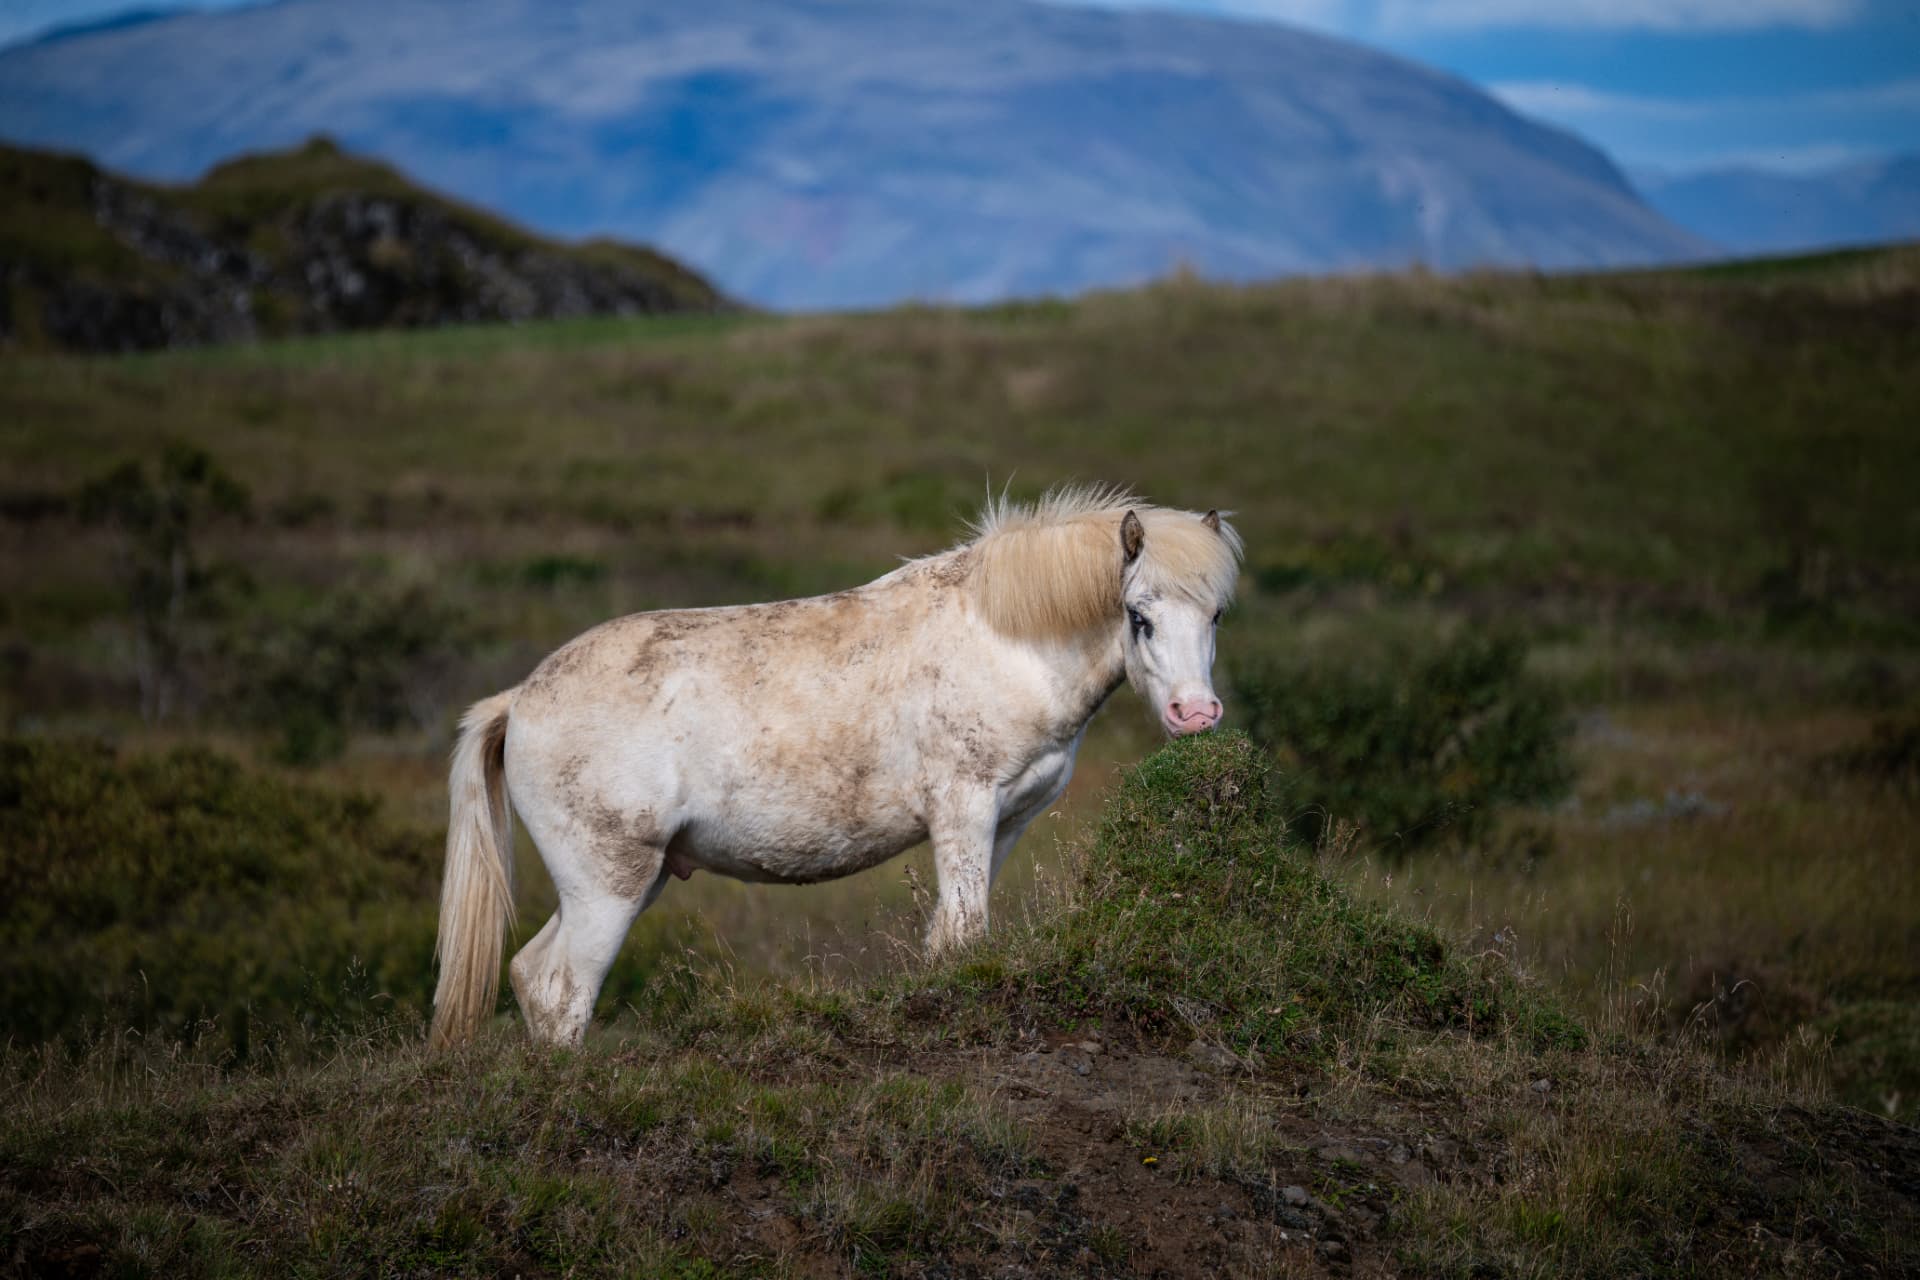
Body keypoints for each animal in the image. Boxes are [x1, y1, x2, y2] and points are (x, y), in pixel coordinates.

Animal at [429, 487, 1243, 1048]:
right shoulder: (963, 809)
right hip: (609, 884)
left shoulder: (1008, 821)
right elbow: (964, 933)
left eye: (1215, 615)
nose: (1195, 715)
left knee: (533, 978)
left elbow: (953, 937)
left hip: (629, 878)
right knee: (564, 988)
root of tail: (519, 700)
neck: (1003, 641)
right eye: (1138, 615)